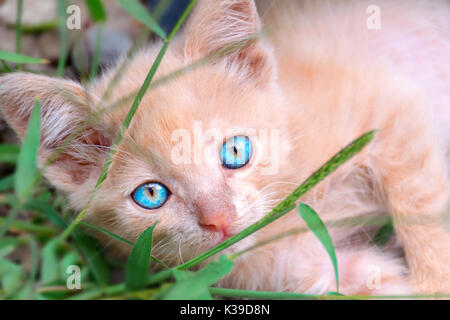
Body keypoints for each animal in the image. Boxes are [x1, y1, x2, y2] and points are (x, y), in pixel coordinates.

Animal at [0, 0, 450, 296]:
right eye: (151, 194)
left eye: (235, 152)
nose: (220, 220)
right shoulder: (303, 269)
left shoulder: (390, 109)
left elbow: (421, 208)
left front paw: (435, 279)